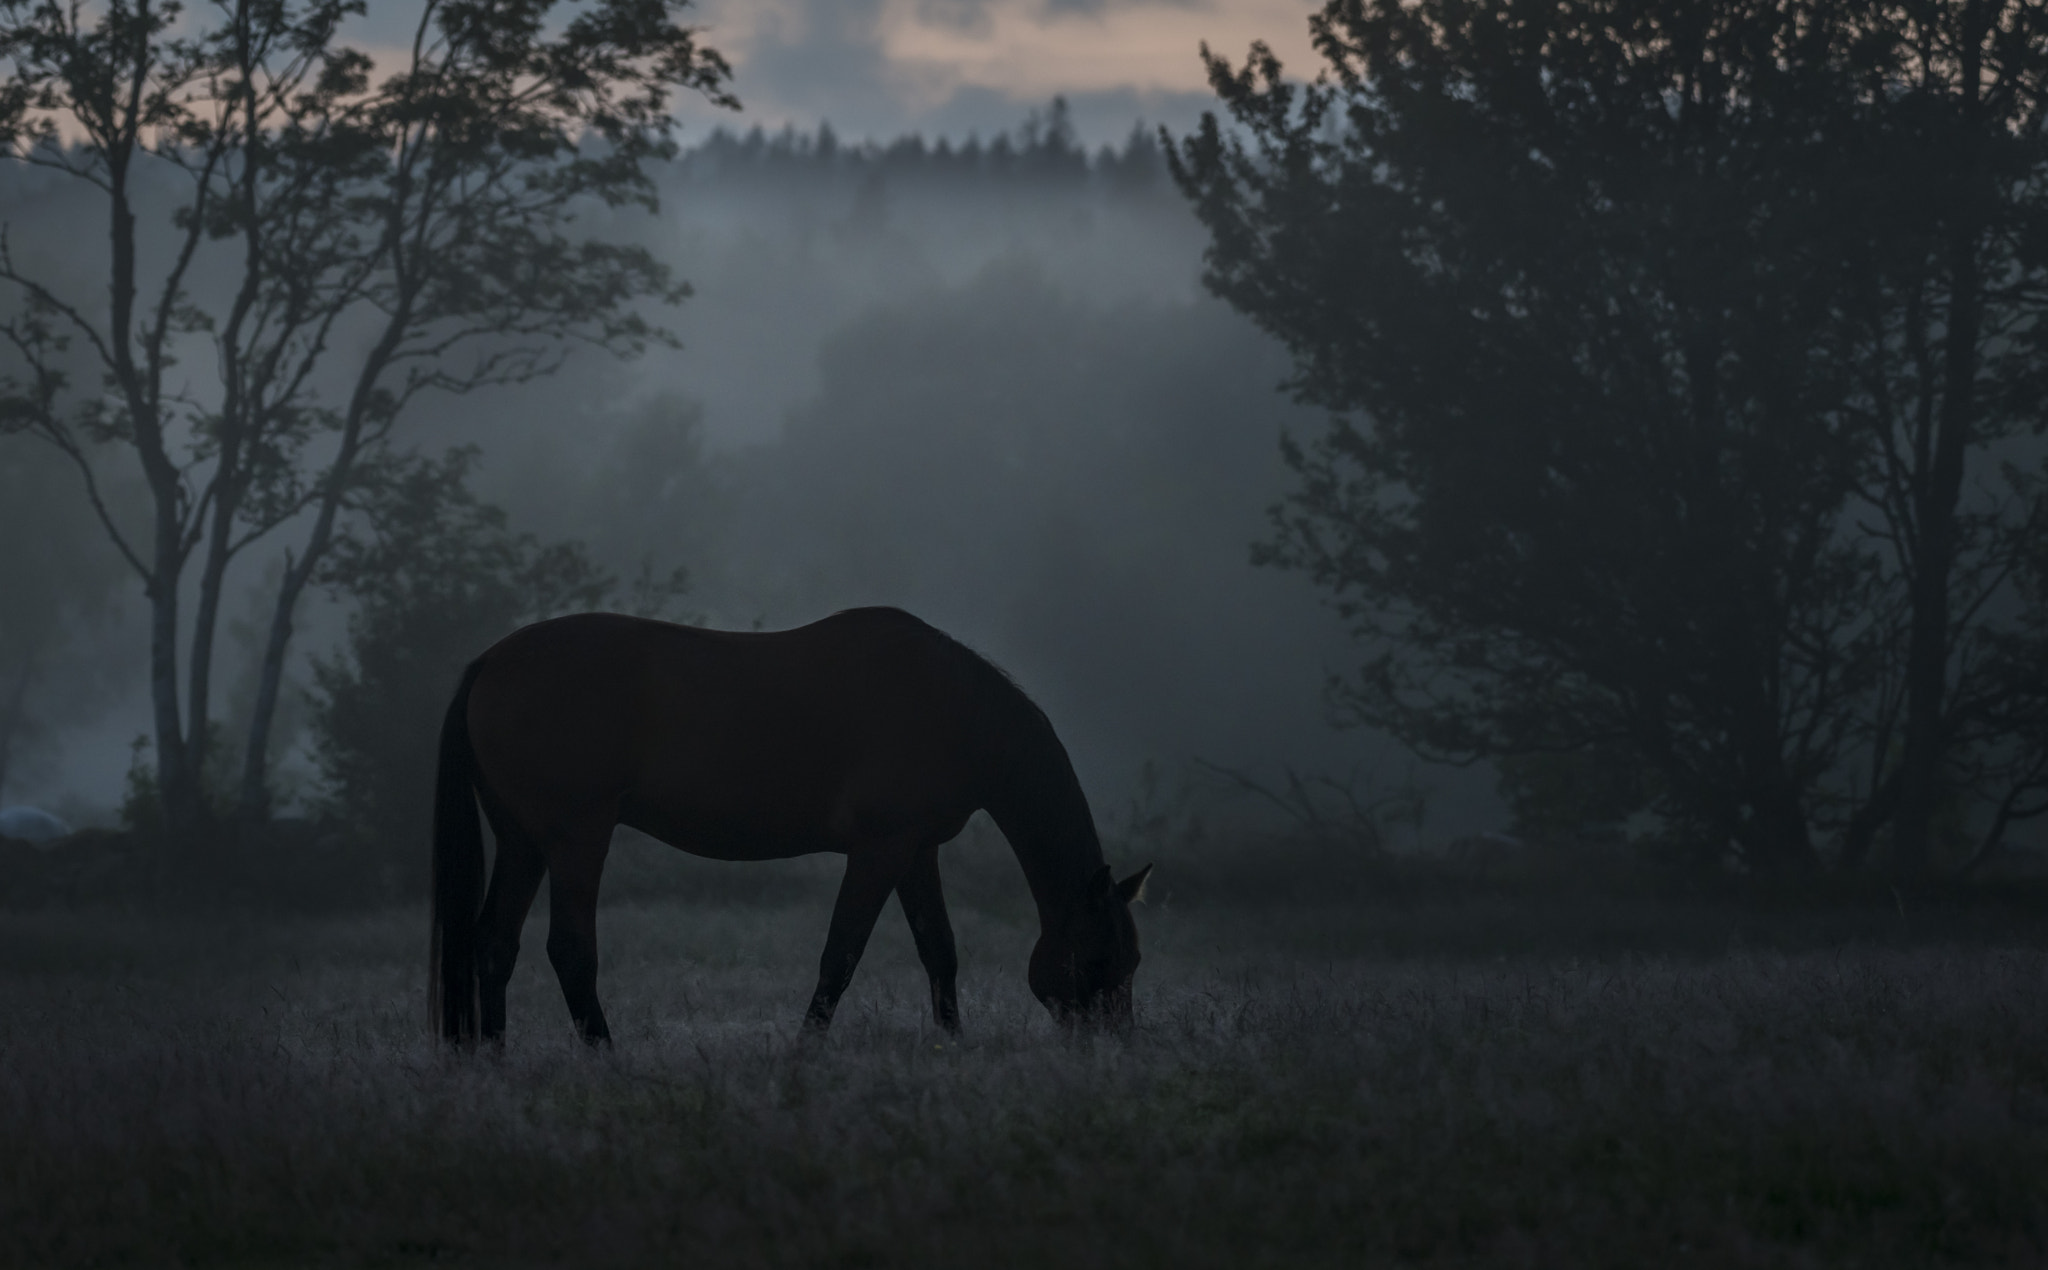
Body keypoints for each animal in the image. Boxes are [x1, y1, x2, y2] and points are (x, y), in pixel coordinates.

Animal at [430, 607, 1152, 1046]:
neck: (956, 710)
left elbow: (939, 950)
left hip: (524, 843)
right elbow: (841, 955)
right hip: (577, 838)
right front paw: (804, 1051)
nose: (1113, 1047)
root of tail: (487, 665)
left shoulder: (916, 852)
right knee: (571, 951)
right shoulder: (879, 850)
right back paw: (607, 1060)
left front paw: (954, 1044)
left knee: (493, 944)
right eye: (1095, 959)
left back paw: (495, 1061)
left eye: (1133, 961)